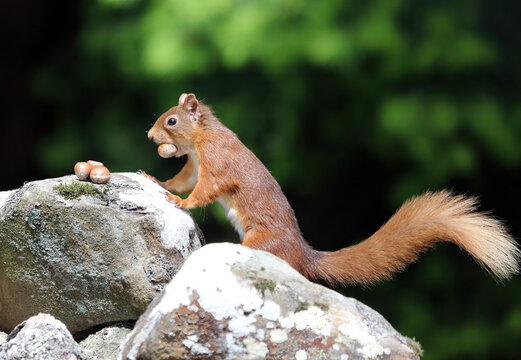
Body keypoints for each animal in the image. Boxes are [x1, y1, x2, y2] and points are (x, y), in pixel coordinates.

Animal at [142, 94, 520, 286]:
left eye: (172, 120)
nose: (149, 136)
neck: (202, 139)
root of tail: (303, 255)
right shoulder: (194, 166)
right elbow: (183, 179)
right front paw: (158, 182)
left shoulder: (217, 163)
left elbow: (205, 190)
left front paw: (180, 201)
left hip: (262, 244)